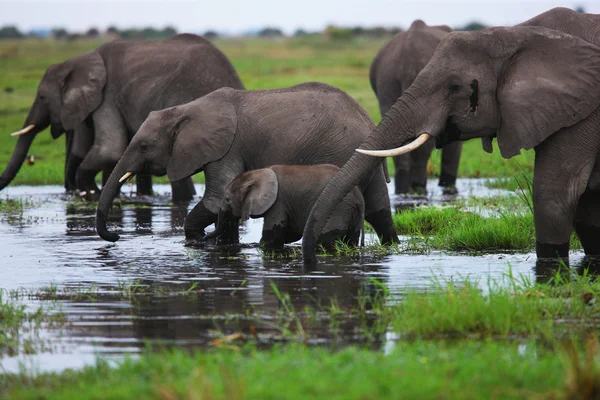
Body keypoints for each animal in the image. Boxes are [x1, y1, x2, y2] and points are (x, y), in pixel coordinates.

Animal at [204, 164, 364, 248]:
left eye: (227, 199)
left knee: (328, 242)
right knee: (351, 240)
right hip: (350, 212)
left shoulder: (278, 203)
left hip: (339, 209)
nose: (204, 237)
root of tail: (358, 197)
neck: (259, 173)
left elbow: (272, 238)